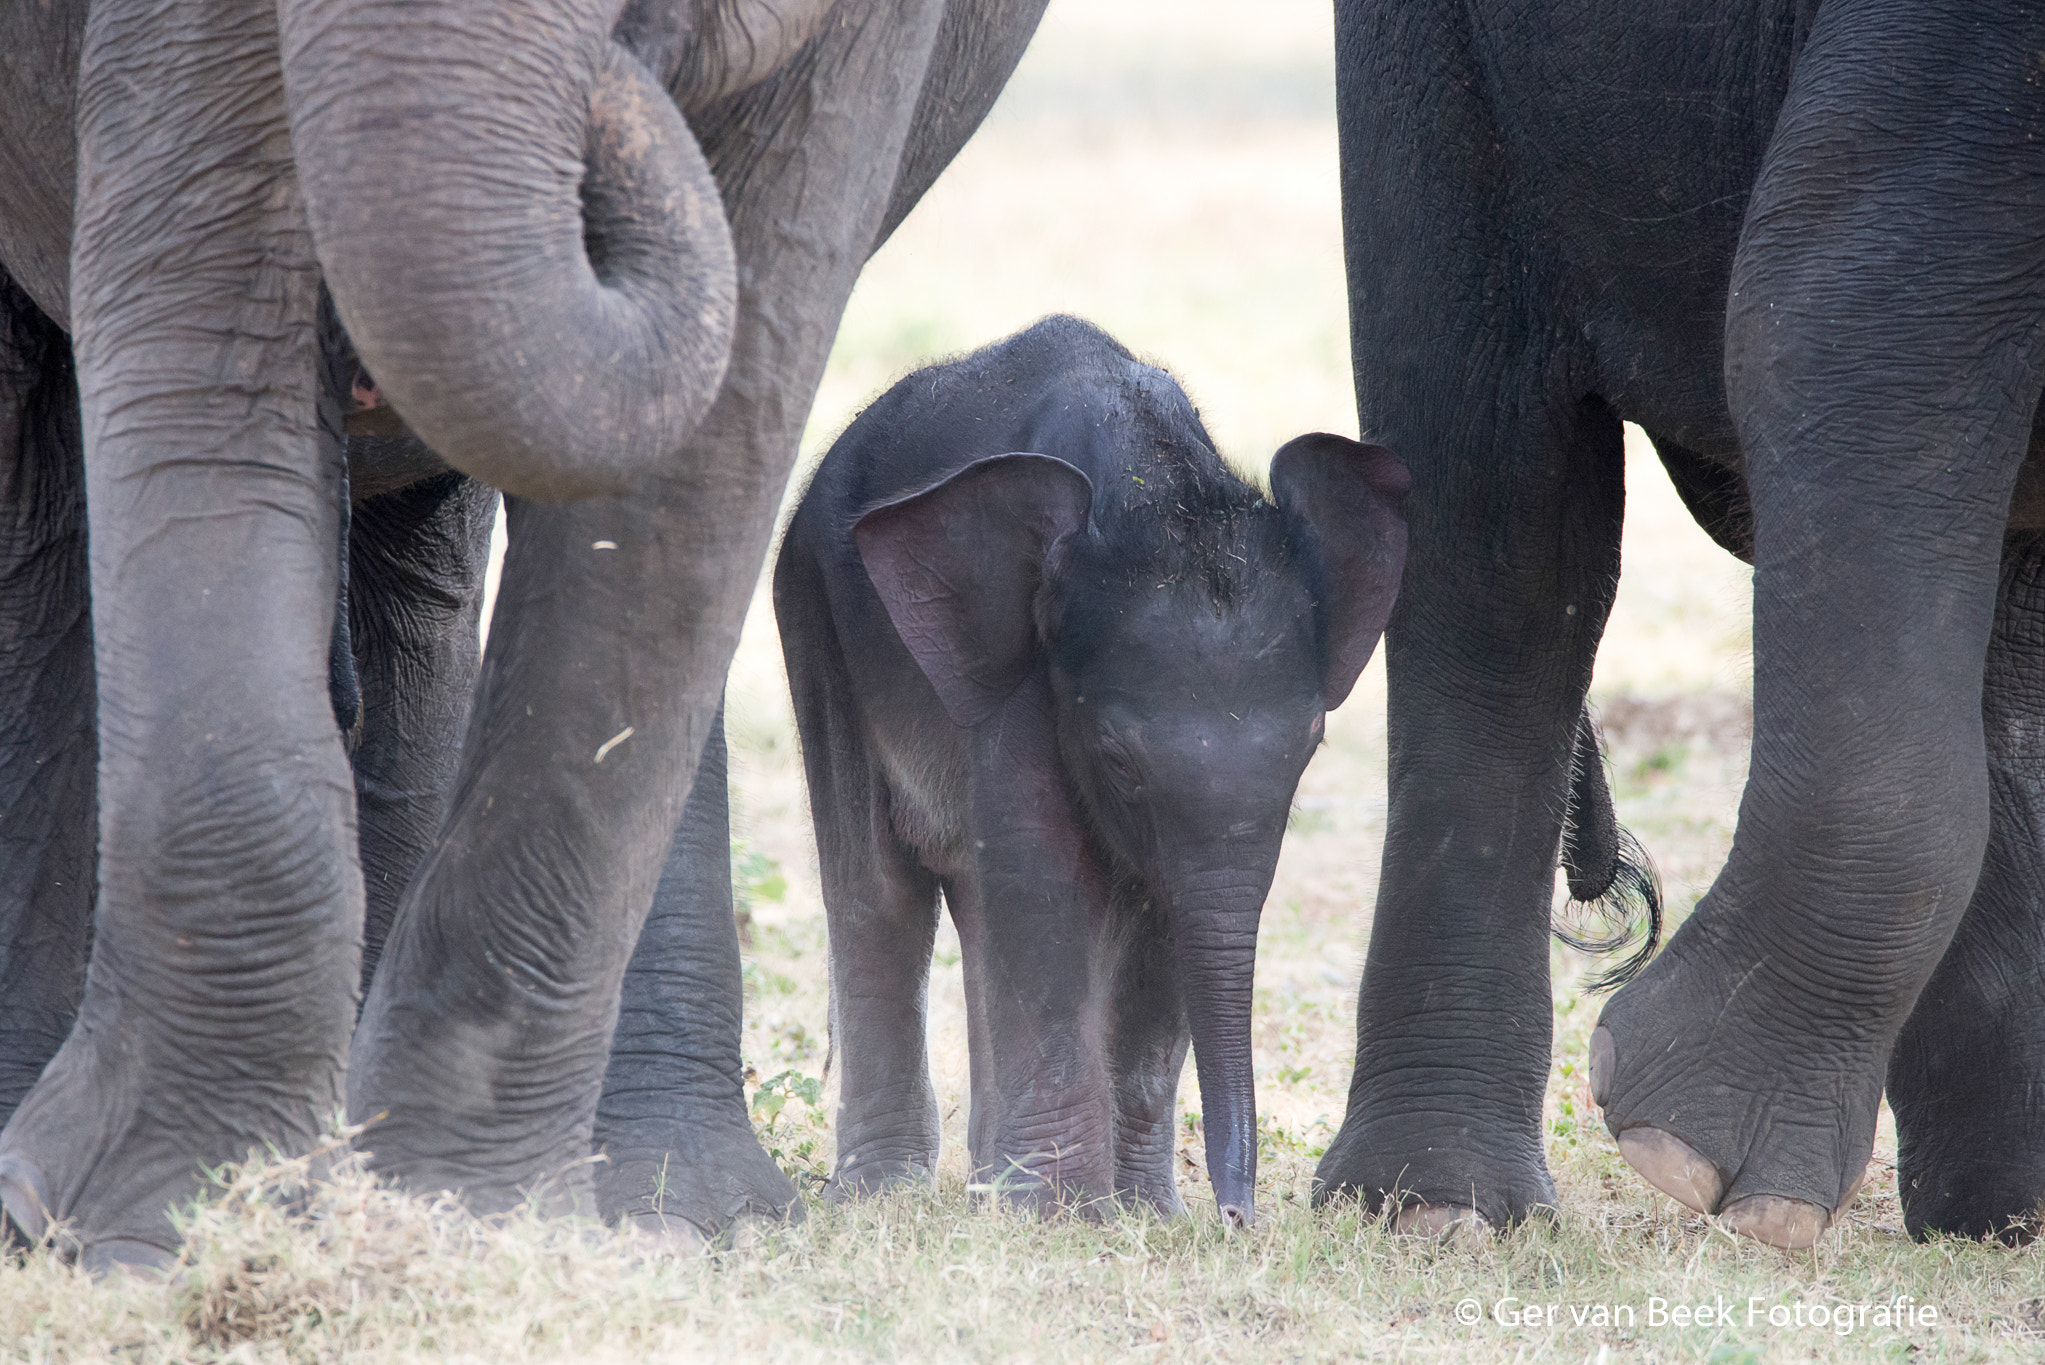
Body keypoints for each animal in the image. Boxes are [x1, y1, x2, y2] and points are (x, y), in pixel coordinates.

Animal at [774, 316, 1411, 1227]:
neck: (1150, 484)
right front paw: (1056, 1217)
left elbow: (1157, 908)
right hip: (815, 615)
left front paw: (1141, 1216)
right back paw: (883, 1193)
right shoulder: (1019, 675)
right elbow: (1048, 883)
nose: (1238, 1216)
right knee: (878, 888)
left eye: (1311, 747)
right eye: (1116, 757)